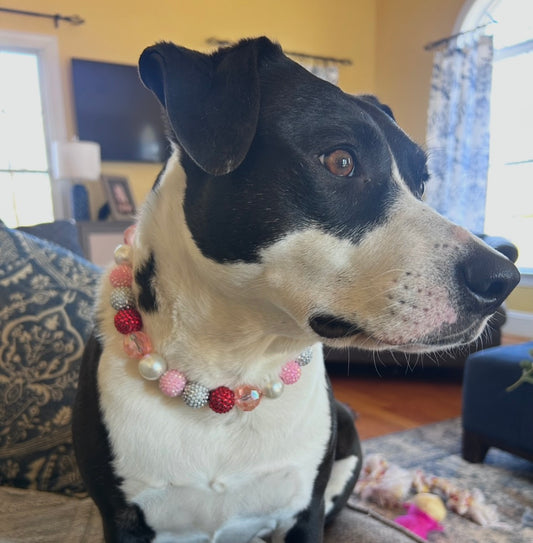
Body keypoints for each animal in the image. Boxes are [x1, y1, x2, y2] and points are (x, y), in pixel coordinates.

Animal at [72, 37, 520, 543]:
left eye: (421, 184)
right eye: (340, 161)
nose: (503, 278)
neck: (232, 373)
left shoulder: (306, 514)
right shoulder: (124, 522)